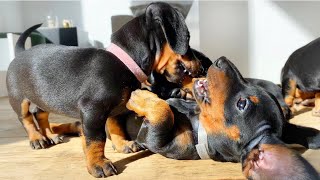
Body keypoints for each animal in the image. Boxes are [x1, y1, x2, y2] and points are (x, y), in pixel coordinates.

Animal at [5, 2, 200, 177]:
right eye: (188, 39)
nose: (201, 67)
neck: (124, 63)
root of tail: (20, 52)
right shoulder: (93, 109)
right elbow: (96, 139)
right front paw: (97, 164)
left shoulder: (116, 107)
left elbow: (114, 126)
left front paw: (122, 145)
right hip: (19, 99)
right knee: (26, 118)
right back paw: (37, 138)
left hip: (42, 97)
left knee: (40, 114)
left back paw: (50, 135)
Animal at [125, 56, 320, 179]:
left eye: (242, 104)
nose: (221, 60)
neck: (197, 122)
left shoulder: (160, 142)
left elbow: (163, 112)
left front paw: (139, 96)